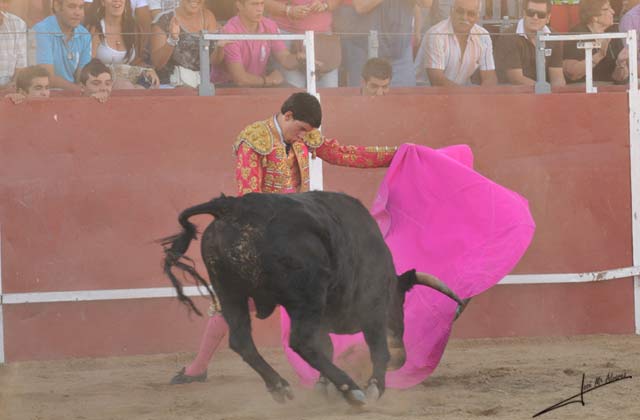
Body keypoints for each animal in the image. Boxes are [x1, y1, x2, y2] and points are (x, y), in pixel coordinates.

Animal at [159, 192, 460, 406]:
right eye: (400, 302)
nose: (402, 356)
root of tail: (232, 206)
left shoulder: (323, 316)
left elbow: (326, 346)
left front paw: (323, 386)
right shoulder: (371, 307)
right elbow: (377, 349)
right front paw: (374, 386)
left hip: (230, 292)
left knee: (242, 340)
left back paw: (280, 386)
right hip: (307, 295)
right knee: (300, 341)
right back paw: (352, 390)